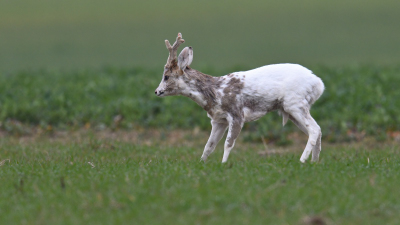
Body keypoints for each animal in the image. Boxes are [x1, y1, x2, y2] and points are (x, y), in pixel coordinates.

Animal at [154, 33, 324, 163]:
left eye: (166, 76)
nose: (157, 91)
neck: (216, 91)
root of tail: (318, 84)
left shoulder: (237, 114)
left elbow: (228, 143)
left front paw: (223, 164)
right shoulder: (218, 120)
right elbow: (209, 145)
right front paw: (202, 162)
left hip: (294, 104)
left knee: (314, 130)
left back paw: (302, 160)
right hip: (291, 109)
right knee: (318, 129)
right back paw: (314, 162)